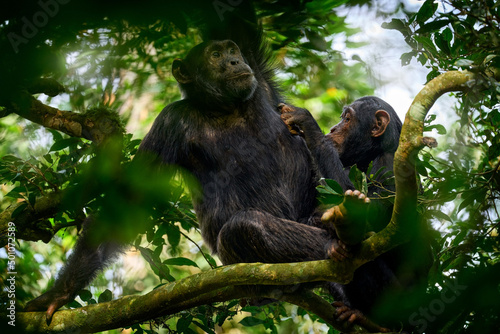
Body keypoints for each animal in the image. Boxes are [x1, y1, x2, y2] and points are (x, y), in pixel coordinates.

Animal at [26, 36, 360, 320]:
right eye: (215, 55)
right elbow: (129, 198)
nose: (234, 61)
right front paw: (58, 295)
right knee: (244, 228)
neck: (226, 107)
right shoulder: (169, 123)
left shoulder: (262, 85)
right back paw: (335, 247)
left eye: (232, 50)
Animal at [280, 96, 432, 332]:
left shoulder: (390, 168)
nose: (333, 128)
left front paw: (308, 125)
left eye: (347, 118)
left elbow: (366, 215)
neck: (373, 154)